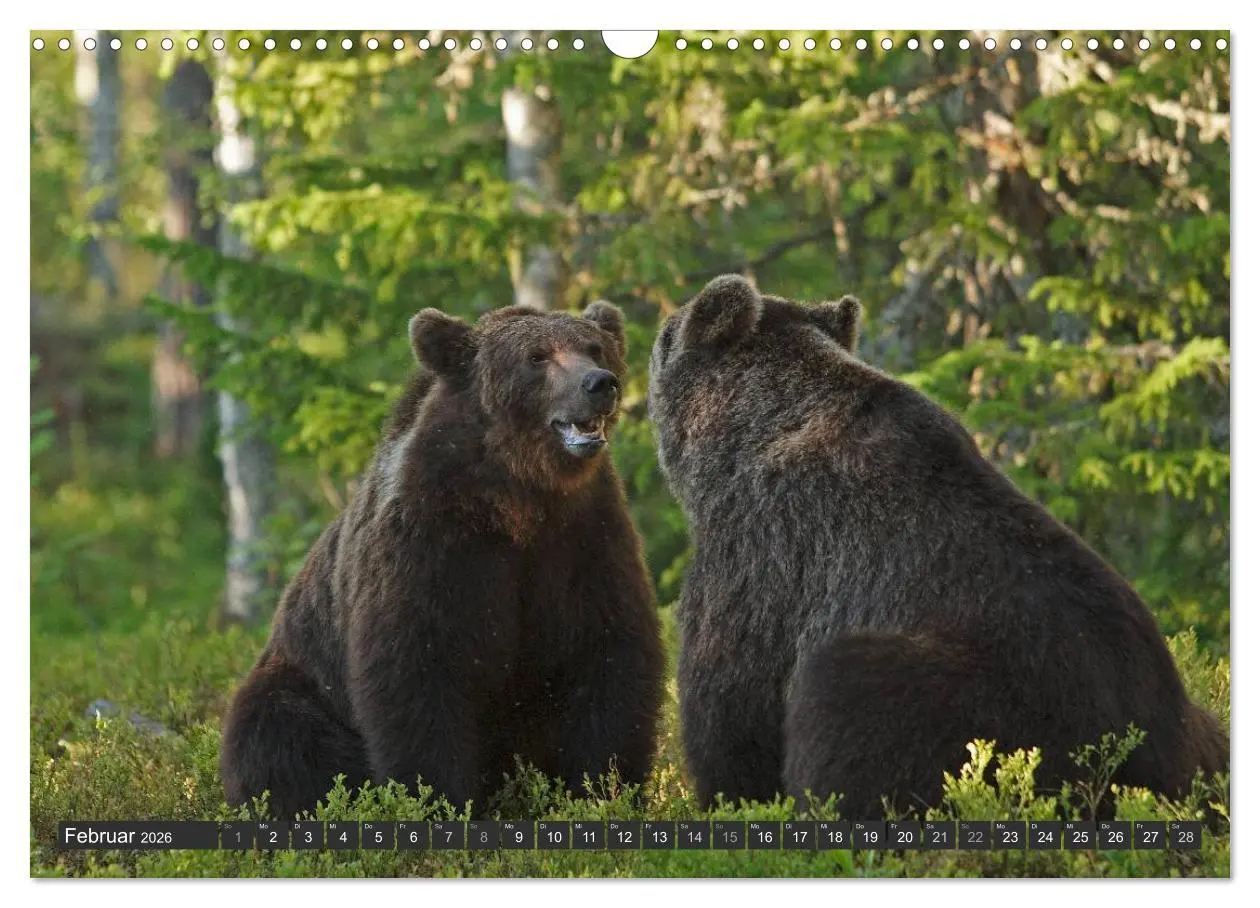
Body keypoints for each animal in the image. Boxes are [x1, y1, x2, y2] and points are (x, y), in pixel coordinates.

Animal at [220, 301, 665, 820]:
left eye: (595, 348)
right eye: (536, 356)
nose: (599, 384)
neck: (517, 497)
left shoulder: (583, 538)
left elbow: (607, 654)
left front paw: (601, 789)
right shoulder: (433, 545)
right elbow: (418, 669)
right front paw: (438, 800)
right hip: (301, 678)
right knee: (276, 734)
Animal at [647, 273, 1228, 819]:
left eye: (665, 337)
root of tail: (1146, 765)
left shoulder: (766, 548)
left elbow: (732, 705)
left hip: (990, 707)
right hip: (1196, 727)